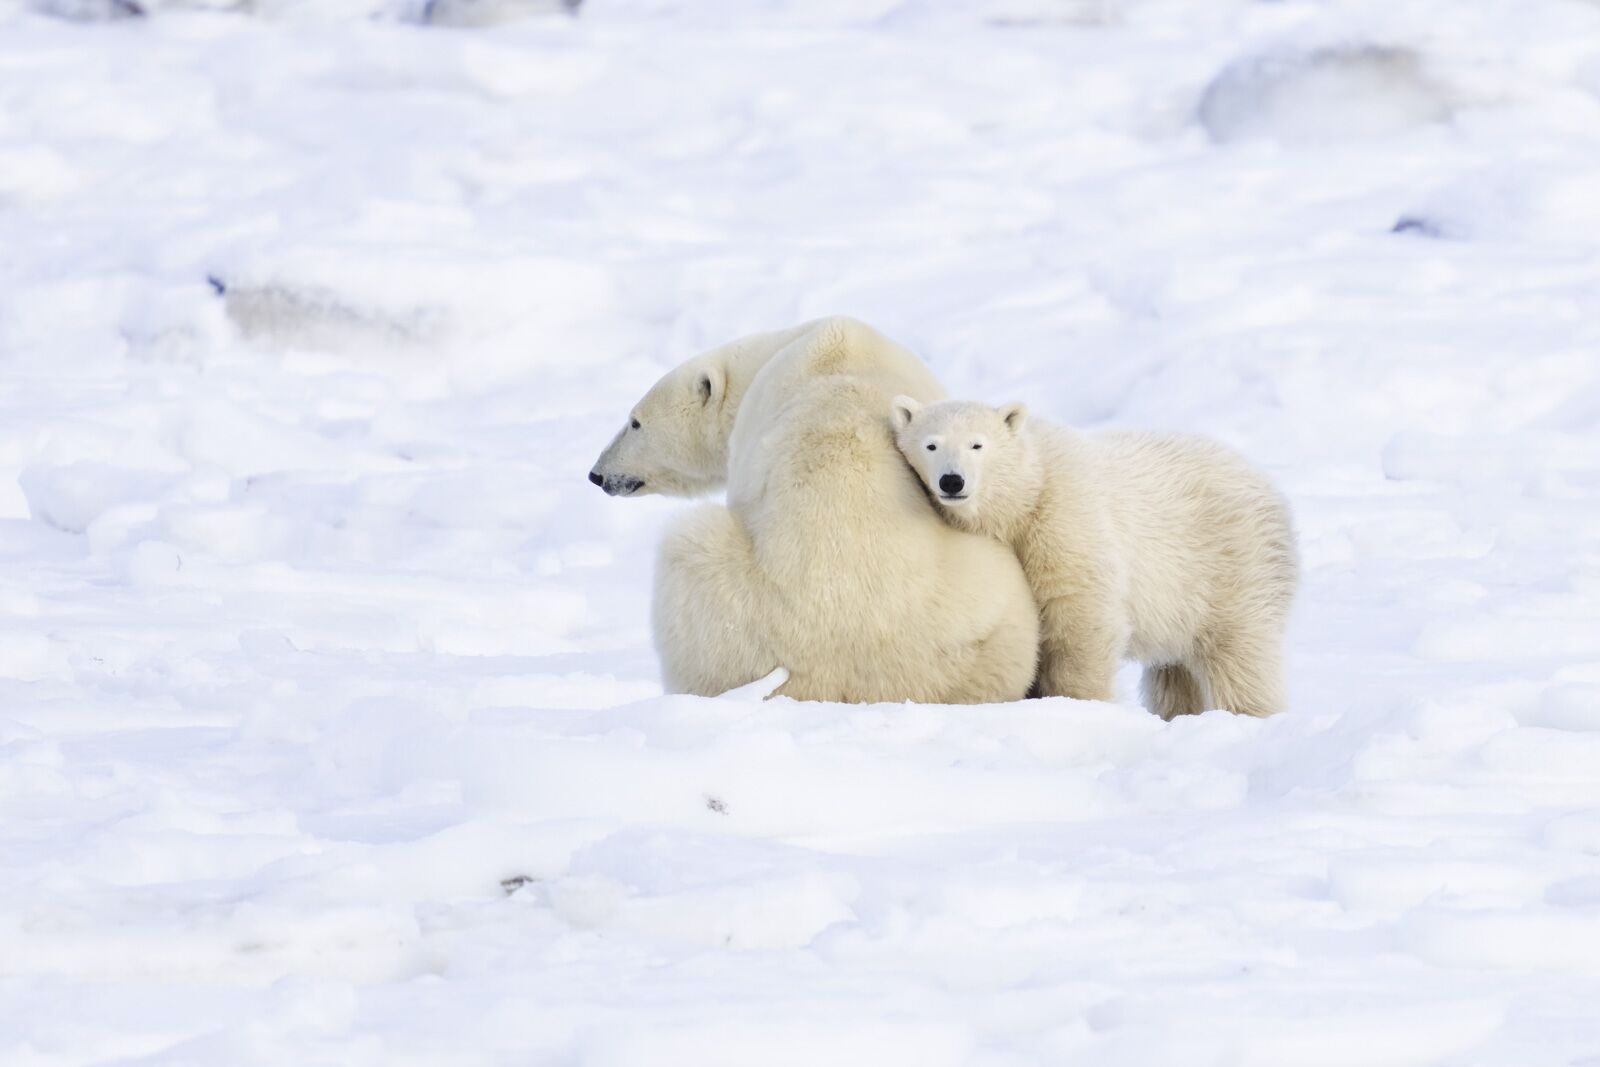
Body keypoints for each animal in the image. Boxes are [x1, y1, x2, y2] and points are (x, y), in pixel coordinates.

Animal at [896, 398, 1292, 716]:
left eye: (977, 444)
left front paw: (1079, 701)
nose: (952, 481)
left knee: (1241, 652)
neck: (1027, 494)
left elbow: (1079, 611)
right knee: (1174, 671)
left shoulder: (1064, 516)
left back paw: (1248, 712)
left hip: (1231, 563)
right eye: (931, 445)